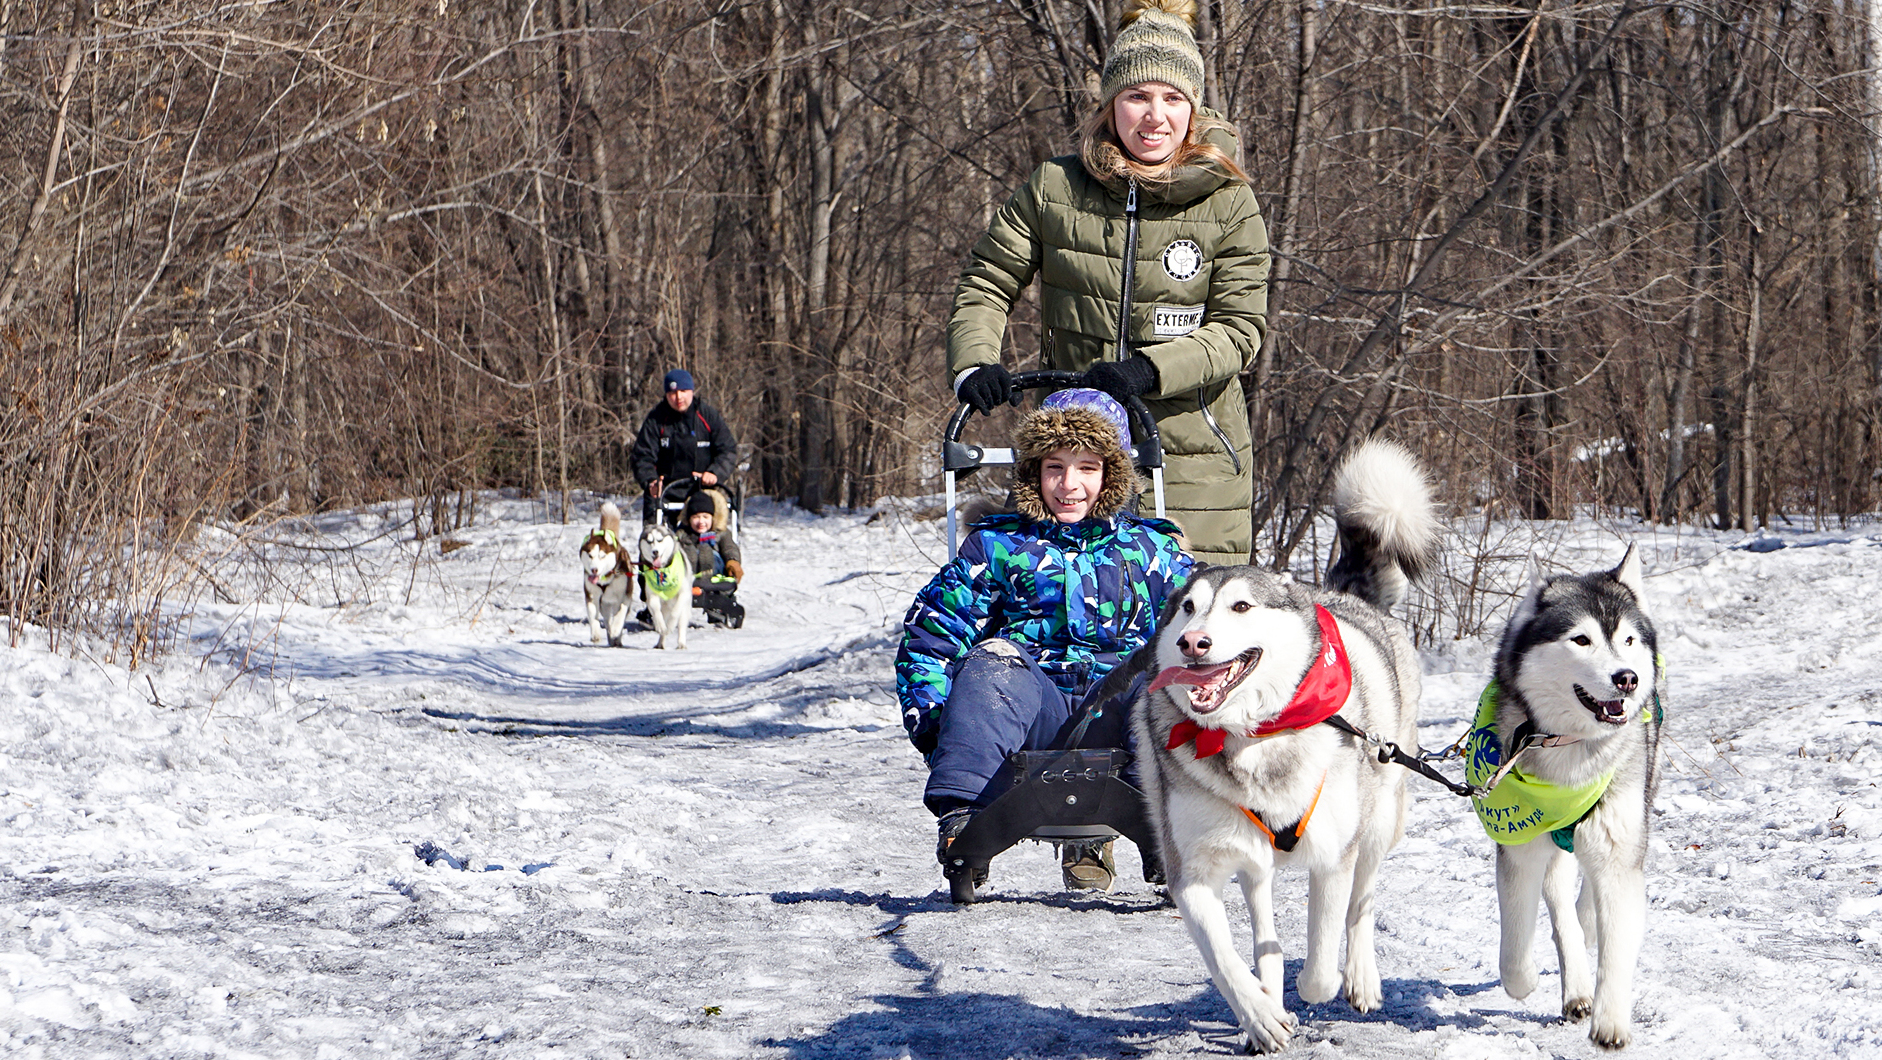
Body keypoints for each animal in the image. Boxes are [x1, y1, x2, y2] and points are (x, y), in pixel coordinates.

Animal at [579, 504, 632, 647]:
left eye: (602, 556)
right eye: (590, 555)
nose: (594, 570)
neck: (606, 578)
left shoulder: (626, 596)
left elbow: (621, 614)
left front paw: (616, 629)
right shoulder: (592, 595)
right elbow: (593, 616)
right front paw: (596, 634)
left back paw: (616, 637)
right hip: (605, 605)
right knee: (607, 620)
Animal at [636, 519, 696, 651]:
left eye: (660, 540)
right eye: (649, 541)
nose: (655, 552)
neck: (663, 570)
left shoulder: (683, 594)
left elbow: (675, 613)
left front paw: (671, 625)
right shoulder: (651, 596)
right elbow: (655, 610)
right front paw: (660, 625)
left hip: (685, 608)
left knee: (681, 623)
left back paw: (681, 643)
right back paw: (661, 642)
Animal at [1129, 440, 1437, 1054]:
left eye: (1241, 607)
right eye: (1187, 608)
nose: (1192, 642)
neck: (1251, 737)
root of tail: (1341, 593)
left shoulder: (1335, 853)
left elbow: (1321, 959)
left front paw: (1318, 985)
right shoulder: (1191, 871)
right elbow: (1226, 959)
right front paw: (1260, 1013)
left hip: (1379, 820)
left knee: (1362, 904)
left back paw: (1361, 976)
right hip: (1253, 858)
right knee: (1262, 919)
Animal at [1467, 553, 1663, 1046]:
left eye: (1628, 639)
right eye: (1581, 639)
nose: (1626, 678)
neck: (1570, 750)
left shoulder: (1617, 845)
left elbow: (1616, 939)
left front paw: (1611, 1022)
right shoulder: (1519, 841)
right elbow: (1515, 951)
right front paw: (1524, 981)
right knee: (1557, 898)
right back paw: (1573, 980)